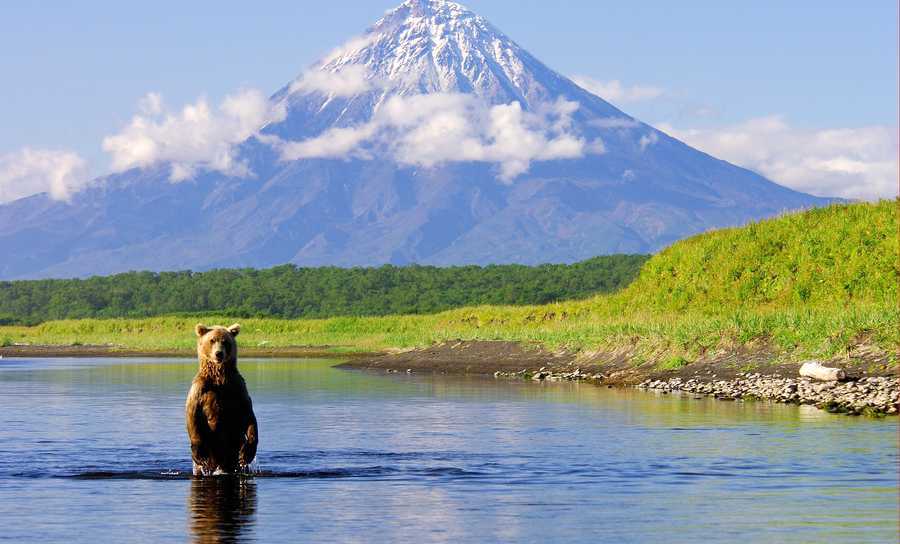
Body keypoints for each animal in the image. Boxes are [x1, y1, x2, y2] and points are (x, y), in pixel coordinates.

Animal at [185, 324, 258, 476]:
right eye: (212, 340)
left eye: (225, 341)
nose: (219, 353)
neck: (219, 378)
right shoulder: (200, 389)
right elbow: (192, 414)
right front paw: (199, 453)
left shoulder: (238, 387)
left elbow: (249, 414)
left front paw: (247, 452)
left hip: (234, 449)